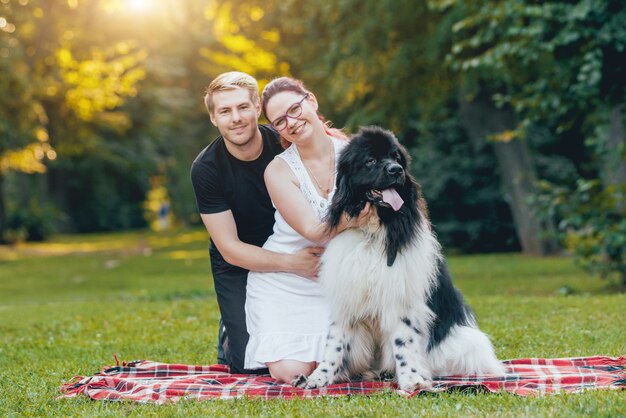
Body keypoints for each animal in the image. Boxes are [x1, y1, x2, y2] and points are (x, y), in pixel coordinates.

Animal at [294, 126, 504, 392]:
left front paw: (412, 380)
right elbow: (335, 342)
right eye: (370, 160)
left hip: (465, 343)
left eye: (396, 158)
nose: (396, 170)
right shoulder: (348, 297)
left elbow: (403, 342)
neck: (374, 231)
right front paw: (319, 377)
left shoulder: (402, 299)